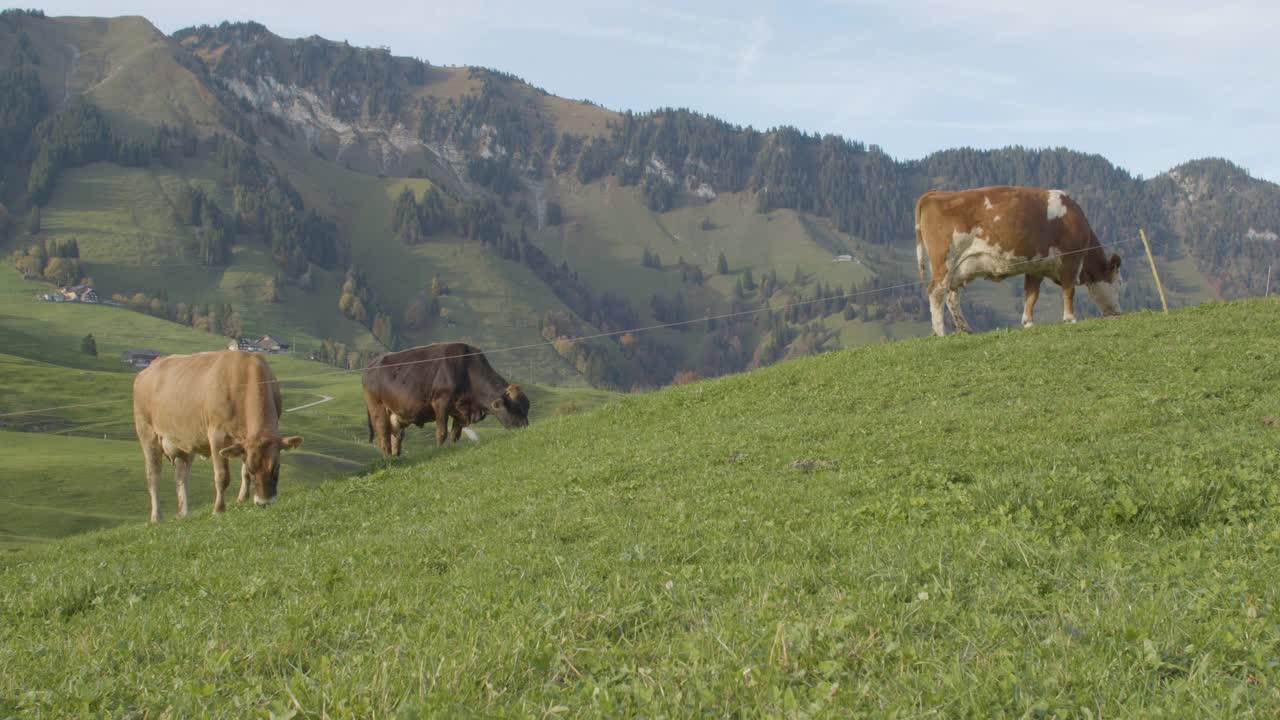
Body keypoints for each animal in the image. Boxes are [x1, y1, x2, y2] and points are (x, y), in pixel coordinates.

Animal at [131, 348, 302, 520]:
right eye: (253, 470)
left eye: (277, 467)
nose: (264, 502)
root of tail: (150, 367)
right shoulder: (217, 436)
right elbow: (222, 476)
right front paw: (218, 509)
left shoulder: (244, 442)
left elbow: (243, 472)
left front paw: (242, 498)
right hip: (147, 433)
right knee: (153, 475)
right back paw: (157, 517)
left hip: (184, 442)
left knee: (181, 476)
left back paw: (185, 513)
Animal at [363, 340, 527, 453]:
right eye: (514, 408)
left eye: (526, 408)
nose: (525, 427)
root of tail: (370, 365)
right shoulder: (441, 403)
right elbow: (442, 432)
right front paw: (439, 451)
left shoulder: (461, 410)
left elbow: (455, 434)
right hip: (377, 408)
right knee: (383, 438)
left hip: (395, 416)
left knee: (395, 440)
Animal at [911, 183, 1121, 333]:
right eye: (1118, 283)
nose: (1117, 312)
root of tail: (936, 194)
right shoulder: (1071, 259)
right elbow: (1069, 290)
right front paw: (1070, 318)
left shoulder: (1036, 267)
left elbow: (1031, 295)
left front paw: (1027, 322)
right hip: (944, 261)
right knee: (936, 292)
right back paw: (940, 333)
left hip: (957, 267)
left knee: (951, 295)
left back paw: (966, 329)